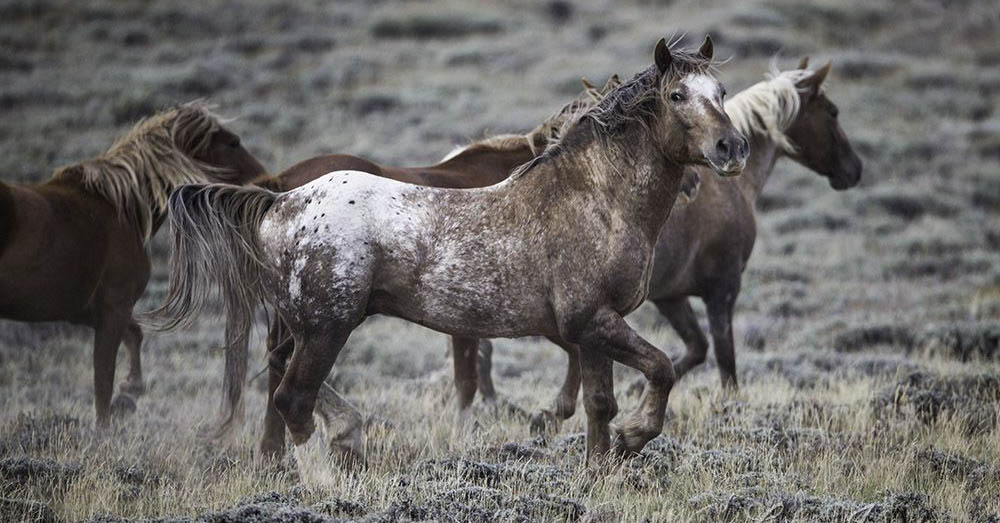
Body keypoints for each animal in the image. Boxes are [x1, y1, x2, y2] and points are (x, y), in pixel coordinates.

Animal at [0, 104, 268, 428]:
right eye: (232, 143)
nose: (265, 181)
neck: (122, 208)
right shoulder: (113, 309)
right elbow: (103, 381)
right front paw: (107, 422)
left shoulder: (88, 312)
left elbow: (134, 336)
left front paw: (128, 392)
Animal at [156, 35, 748, 466]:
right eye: (677, 96)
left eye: (720, 93)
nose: (731, 148)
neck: (595, 198)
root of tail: (280, 201)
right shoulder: (591, 321)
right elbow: (661, 369)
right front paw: (632, 438)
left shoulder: (592, 329)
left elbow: (599, 404)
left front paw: (601, 468)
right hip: (328, 326)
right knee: (291, 396)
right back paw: (329, 471)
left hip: (314, 323)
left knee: (283, 372)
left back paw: (345, 436)